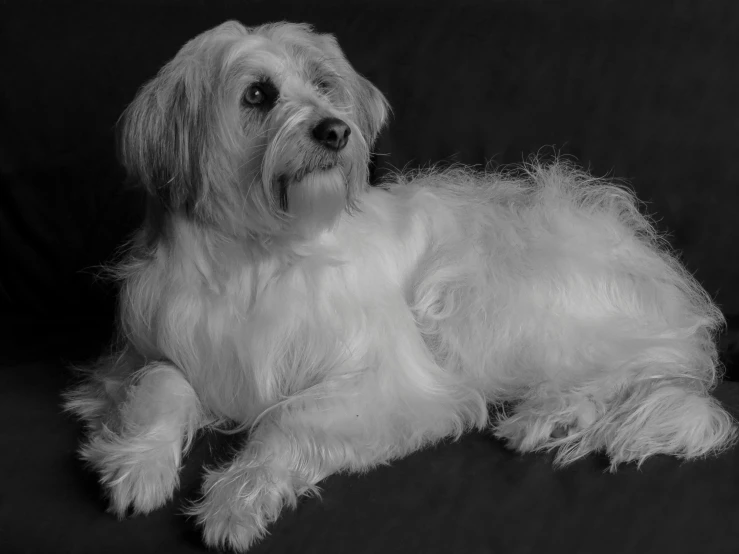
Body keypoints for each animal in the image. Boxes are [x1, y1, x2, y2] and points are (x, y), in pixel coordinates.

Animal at [65, 20, 739, 548]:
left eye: (325, 86)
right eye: (257, 94)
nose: (335, 130)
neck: (262, 257)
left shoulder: (395, 385)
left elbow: (286, 418)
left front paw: (237, 499)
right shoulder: (141, 354)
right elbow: (161, 384)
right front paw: (137, 467)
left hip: (479, 296)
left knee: (629, 376)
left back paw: (548, 414)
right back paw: (550, 416)